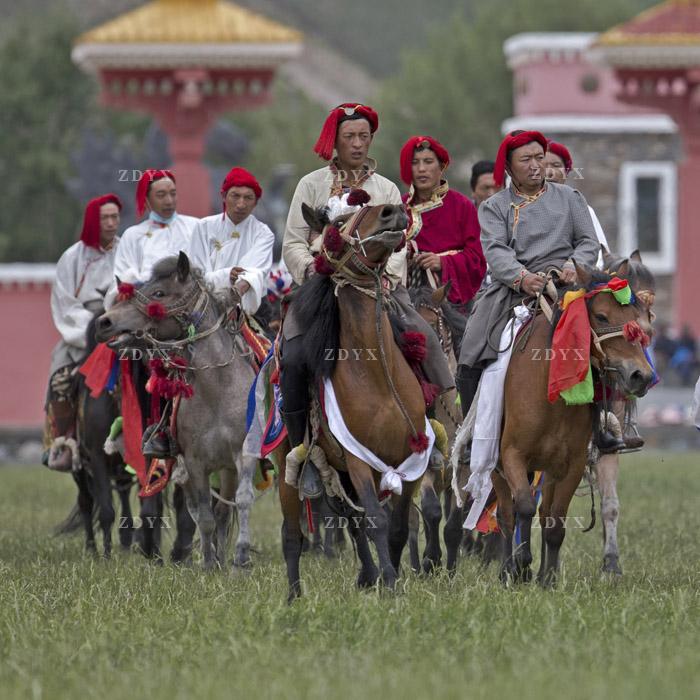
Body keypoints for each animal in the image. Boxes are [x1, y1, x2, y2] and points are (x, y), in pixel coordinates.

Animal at [94, 254, 256, 572]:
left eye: (159, 293)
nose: (105, 322)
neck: (218, 391)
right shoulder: (194, 462)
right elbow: (203, 516)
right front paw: (208, 565)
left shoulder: (243, 455)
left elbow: (241, 502)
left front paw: (241, 558)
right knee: (203, 511)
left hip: (228, 468)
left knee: (223, 510)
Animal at [280, 202, 432, 600]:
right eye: (336, 223)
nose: (392, 212)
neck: (377, 374)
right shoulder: (357, 459)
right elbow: (376, 520)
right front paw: (390, 583)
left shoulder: (411, 460)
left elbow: (398, 524)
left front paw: (391, 573)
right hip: (291, 464)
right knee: (293, 534)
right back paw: (294, 595)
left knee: (350, 519)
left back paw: (367, 573)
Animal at [494, 264, 652, 584]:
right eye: (601, 316)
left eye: (637, 317)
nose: (641, 376)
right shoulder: (512, 455)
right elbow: (522, 507)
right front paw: (521, 566)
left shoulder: (573, 464)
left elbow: (557, 522)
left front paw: (549, 578)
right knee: (506, 511)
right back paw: (507, 570)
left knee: (544, 512)